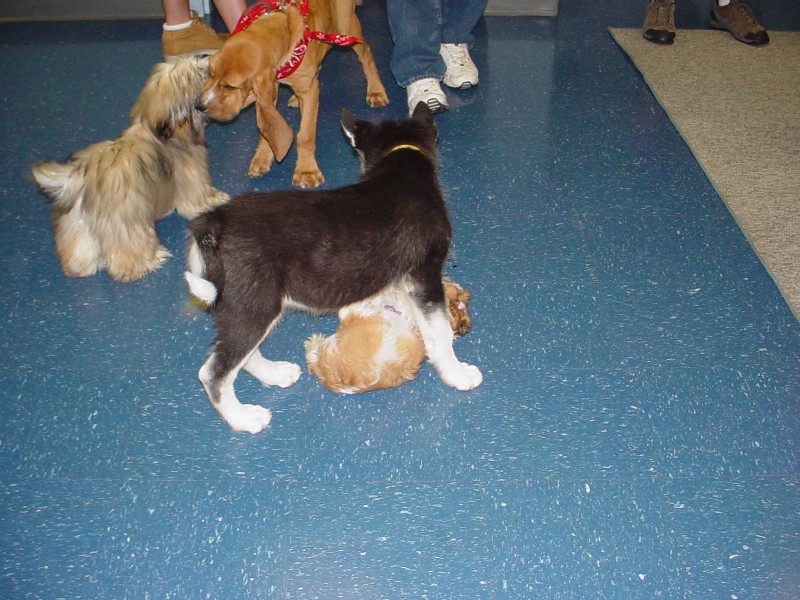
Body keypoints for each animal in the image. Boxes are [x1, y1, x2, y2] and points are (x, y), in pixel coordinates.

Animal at [30, 57, 227, 282]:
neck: (156, 128)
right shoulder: (192, 176)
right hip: (126, 222)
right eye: (199, 73)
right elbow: (197, 201)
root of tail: (78, 179)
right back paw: (148, 261)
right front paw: (216, 199)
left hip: (76, 224)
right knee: (125, 257)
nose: (207, 60)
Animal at [198, 0, 390, 188]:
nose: (199, 106)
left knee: (366, 55)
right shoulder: (272, 90)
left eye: (230, 86)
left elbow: (304, 135)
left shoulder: (308, 92)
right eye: (210, 72)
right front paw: (261, 159)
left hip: (347, 27)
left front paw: (306, 171)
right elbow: (266, 130)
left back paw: (376, 90)